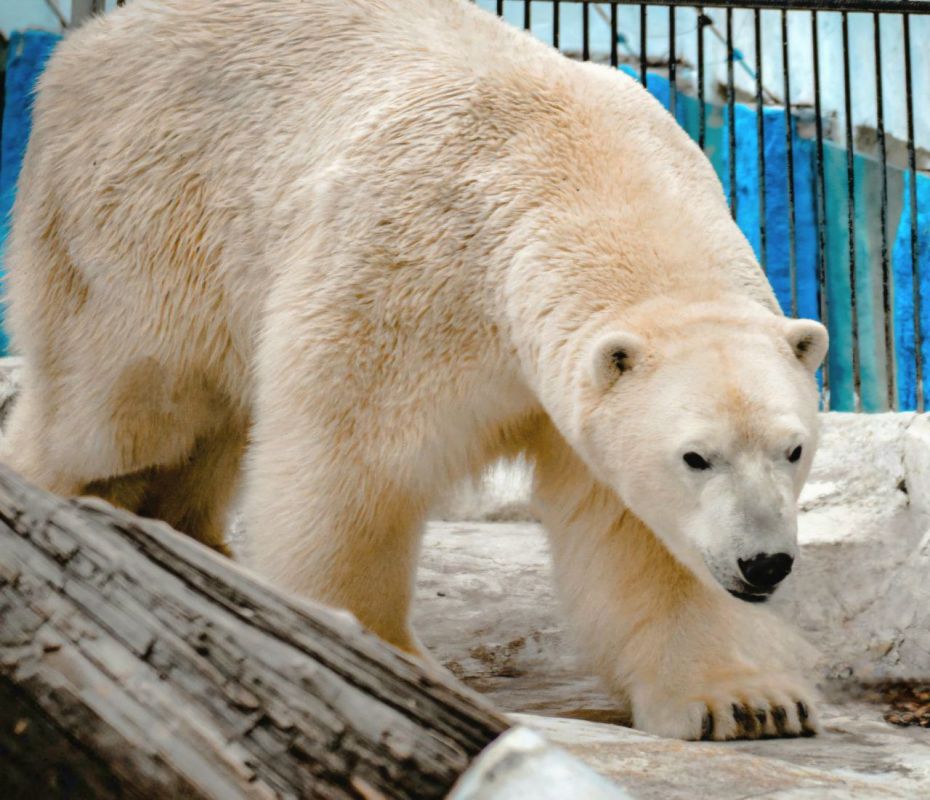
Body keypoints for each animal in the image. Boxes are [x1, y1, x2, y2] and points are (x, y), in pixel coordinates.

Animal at [1, 0, 828, 744]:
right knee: (115, 416)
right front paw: (375, 653)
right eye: (696, 456)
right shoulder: (411, 278)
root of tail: (85, 44)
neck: (579, 163)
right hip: (142, 224)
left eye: (793, 449)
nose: (765, 564)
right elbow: (352, 467)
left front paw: (745, 702)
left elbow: (636, 531)